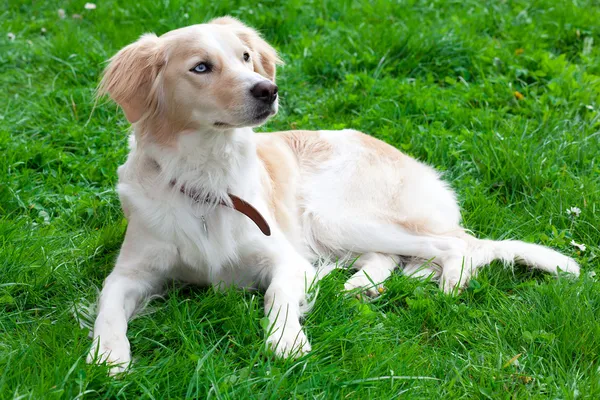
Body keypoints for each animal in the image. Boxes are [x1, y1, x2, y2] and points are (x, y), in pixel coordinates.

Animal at [86, 15, 580, 372]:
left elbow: (277, 296)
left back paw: (447, 286)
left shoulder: (286, 259)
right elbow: (108, 305)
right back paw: (360, 287)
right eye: (201, 67)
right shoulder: (130, 271)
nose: (269, 90)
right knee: (394, 256)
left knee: (456, 246)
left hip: (335, 215)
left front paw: (286, 340)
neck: (207, 178)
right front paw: (106, 355)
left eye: (246, 58)